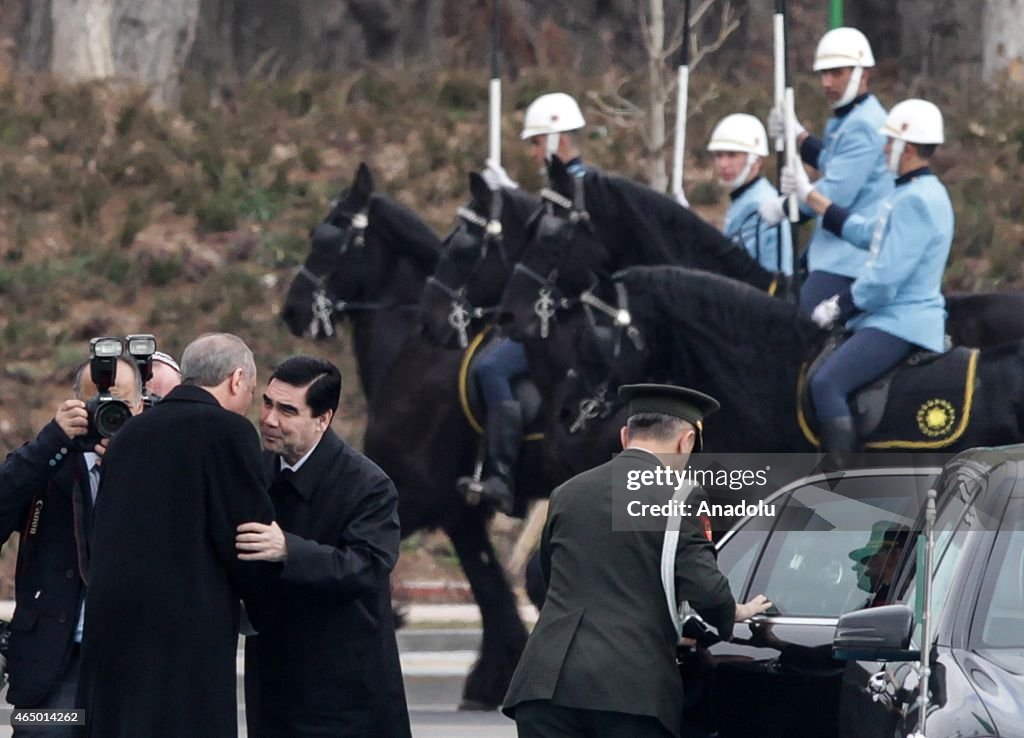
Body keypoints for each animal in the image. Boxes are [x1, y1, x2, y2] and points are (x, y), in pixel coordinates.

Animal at [280, 165, 540, 708]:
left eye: (328, 235)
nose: (292, 308)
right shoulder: (461, 512)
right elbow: (491, 585)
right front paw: (495, 673)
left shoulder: (423, 498)